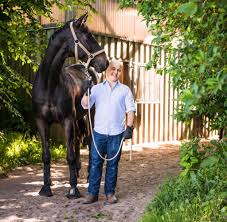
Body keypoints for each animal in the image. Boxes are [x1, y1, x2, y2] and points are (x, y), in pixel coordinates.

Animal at [31, 13, 108, 199]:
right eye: (88, 36)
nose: (105, 62)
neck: (49, 85)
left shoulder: (66, 121)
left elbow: (70, 155)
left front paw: (73, 189)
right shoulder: (41, 122)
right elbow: (46, 155)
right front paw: (46, 188)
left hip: (90, 114)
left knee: (89, 141)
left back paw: (87, 174)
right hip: (77, 118)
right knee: (78, 140)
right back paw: (78, 171)